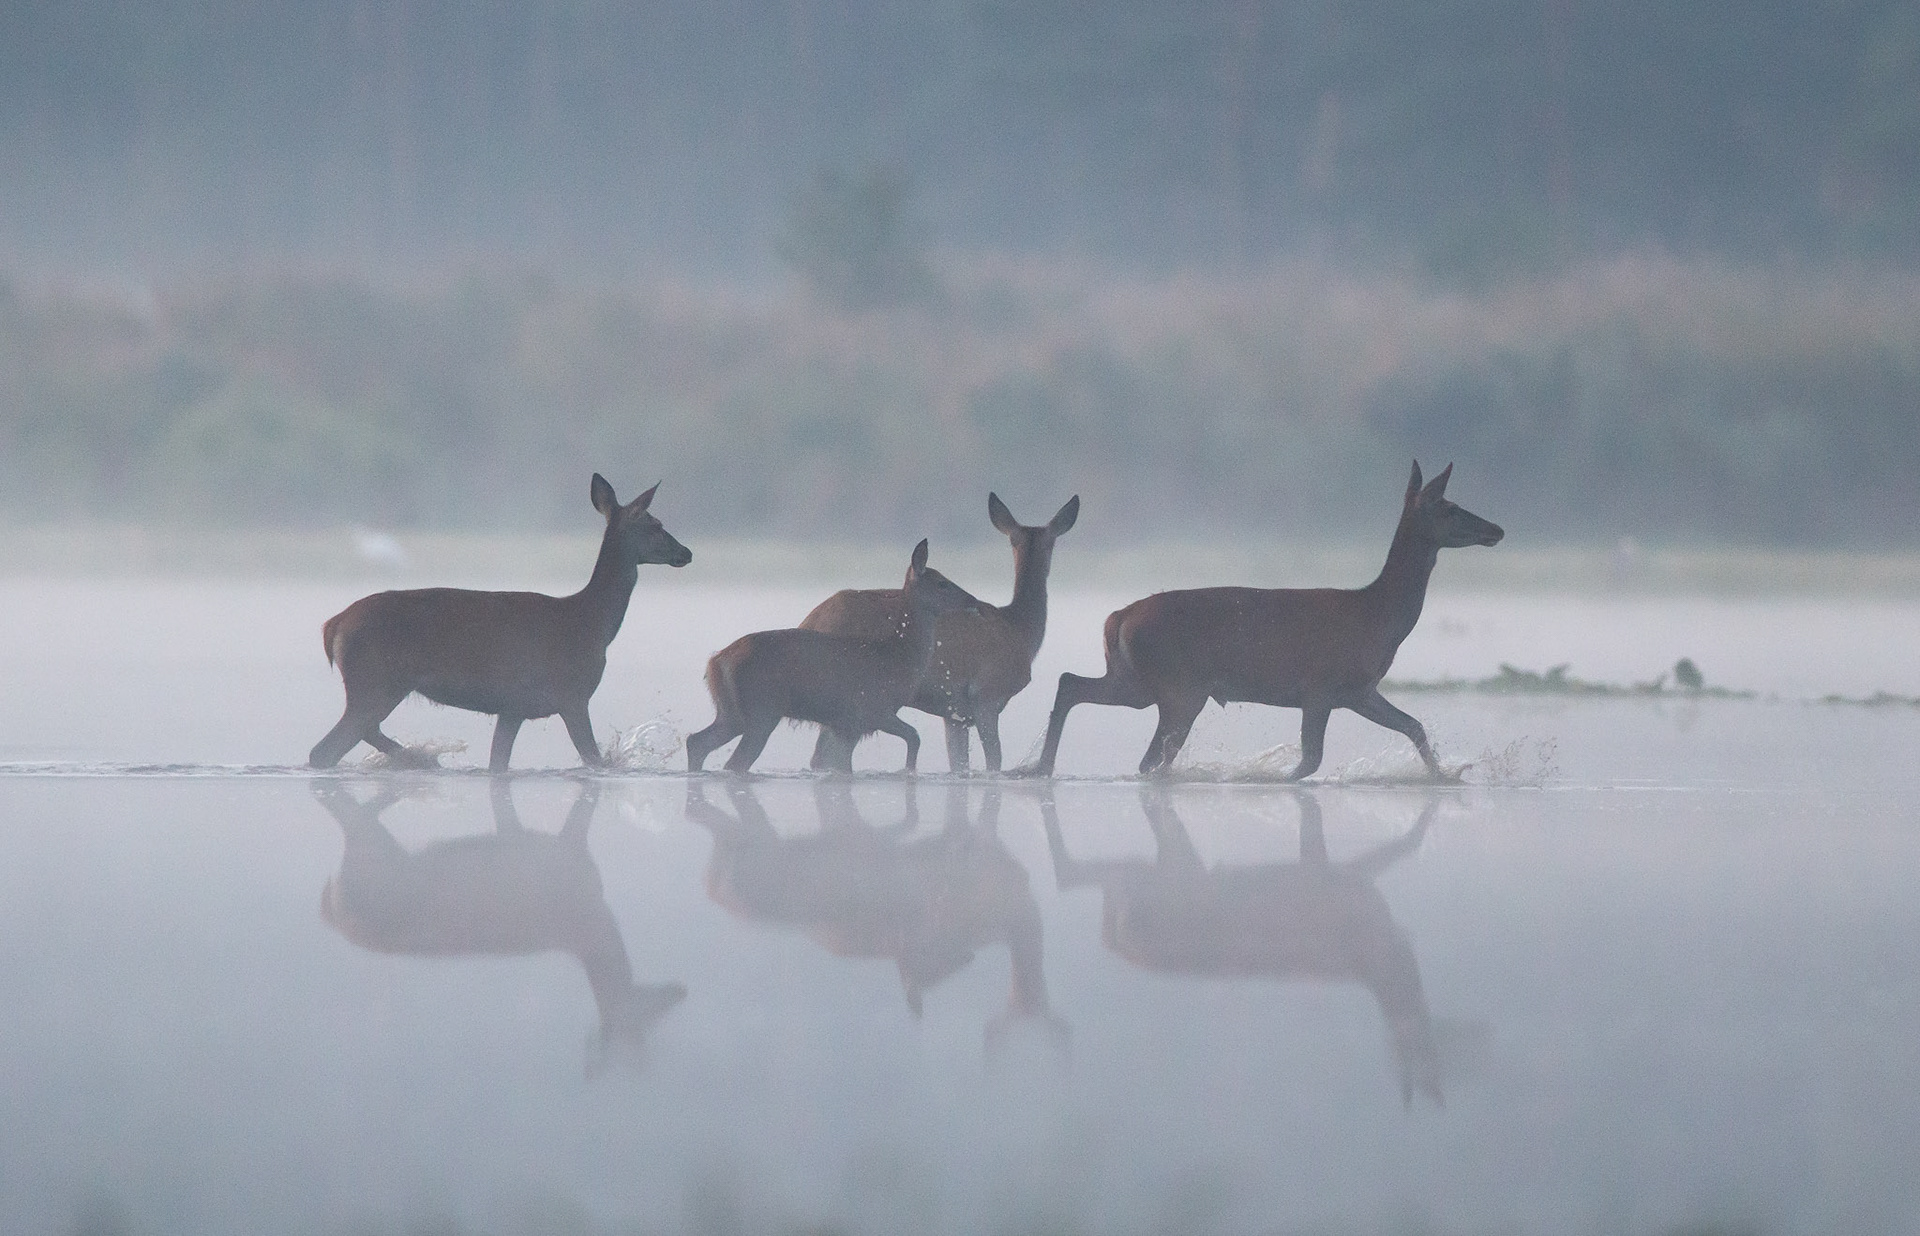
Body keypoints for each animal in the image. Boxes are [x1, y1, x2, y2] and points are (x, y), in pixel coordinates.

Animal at [309, 473, 692, 773]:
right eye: (656, 525)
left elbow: (499, 762)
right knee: (326, 748)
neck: (592, 623)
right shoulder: (572, 694)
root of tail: (334, 625)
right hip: (375, 679)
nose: (686, 552)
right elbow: (594, 759)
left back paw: (419, 758)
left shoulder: (513, 707)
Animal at [685, 539, 984, 774]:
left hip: (732, 712)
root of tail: (715, 663)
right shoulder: (870, 710)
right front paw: (908, 771)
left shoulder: (846, 722)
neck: (899, 658)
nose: (973, 601)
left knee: (696, 742)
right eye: (942, 583)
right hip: (761, 711)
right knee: (734, 762)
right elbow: (914, 737)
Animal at [801, 494, 1079, 774]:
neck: (1020, 629)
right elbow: (994, 759)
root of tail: (810, 621)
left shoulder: (955, 713)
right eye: (1052, 541)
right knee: (829, 755)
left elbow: (958, 762)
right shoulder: (987, 694)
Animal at [1024, 461, 1501, 779]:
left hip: (1137, 680)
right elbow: (1309, 761)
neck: (1380, 617)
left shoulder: (1358, 690)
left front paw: (1446, 776)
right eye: (1449, 507)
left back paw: (1037, 767)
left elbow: (1413, 726)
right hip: (1180, 686)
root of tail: (1116, 618)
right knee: (1150, 760)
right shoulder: (1319, 687)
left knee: (1073, 685)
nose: (1495, 529)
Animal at [1044, 787, 1445, 1105]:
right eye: (1420, 1054)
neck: (1378, 959)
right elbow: (1404, 845)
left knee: (1081, 875)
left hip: (1148, 878)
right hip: (1160, 876)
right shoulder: (1347, 882)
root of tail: (1119, 943)